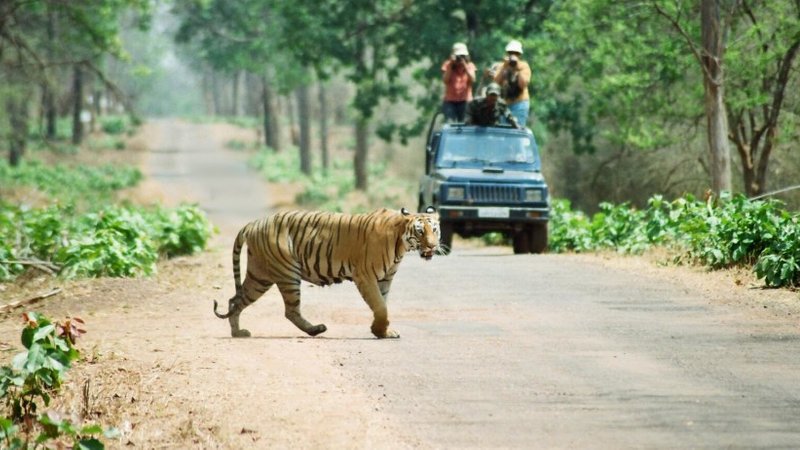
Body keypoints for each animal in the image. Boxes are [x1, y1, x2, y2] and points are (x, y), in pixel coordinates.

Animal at [212, 207, 440, 338]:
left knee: (235, 300)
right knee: (290, 311)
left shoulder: (385, 278)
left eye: (435, 230)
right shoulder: (365, 276)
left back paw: (237, 332)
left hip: (260, 276)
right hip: (287, 273)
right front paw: (379, 331)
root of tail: (254, 223)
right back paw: (316, 330)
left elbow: (382, 305)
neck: (401, 243)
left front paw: (382, 331)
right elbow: (380, 306)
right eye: (420, 231)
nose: (433, 245)